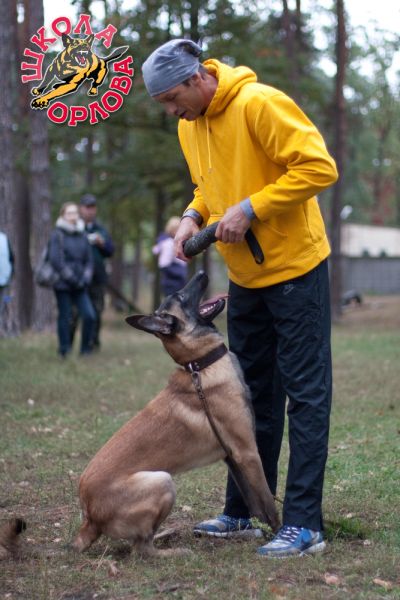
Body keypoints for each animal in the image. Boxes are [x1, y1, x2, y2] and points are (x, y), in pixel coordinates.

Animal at [72, 271, 280, 557]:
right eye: (180, 297)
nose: (201, 272)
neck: (201, 364)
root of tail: (89, 519)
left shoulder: (233, 458)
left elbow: (256, 504)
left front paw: (259, 533)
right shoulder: (247, 453)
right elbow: (269, 502)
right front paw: (280, 533)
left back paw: (167, 534)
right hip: (163, 481)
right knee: (141, 548)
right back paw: (173, 550)